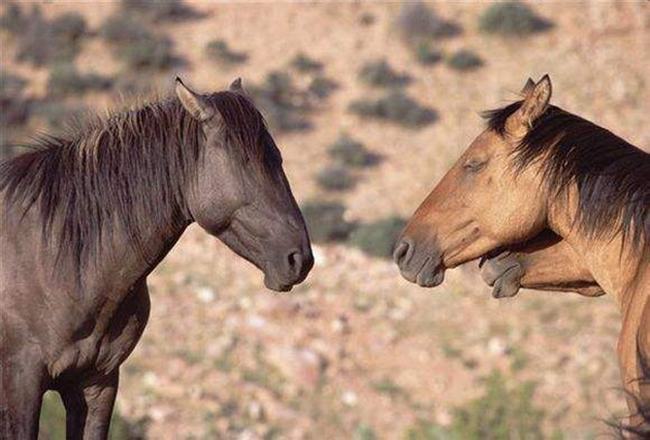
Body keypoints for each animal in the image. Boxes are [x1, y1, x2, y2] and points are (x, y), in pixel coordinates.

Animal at [0, 77, 314, 438]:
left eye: (277, 157)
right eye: (246, 162)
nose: (299, 259)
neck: (59, 257)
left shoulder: (98, 383)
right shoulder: (20, 384)